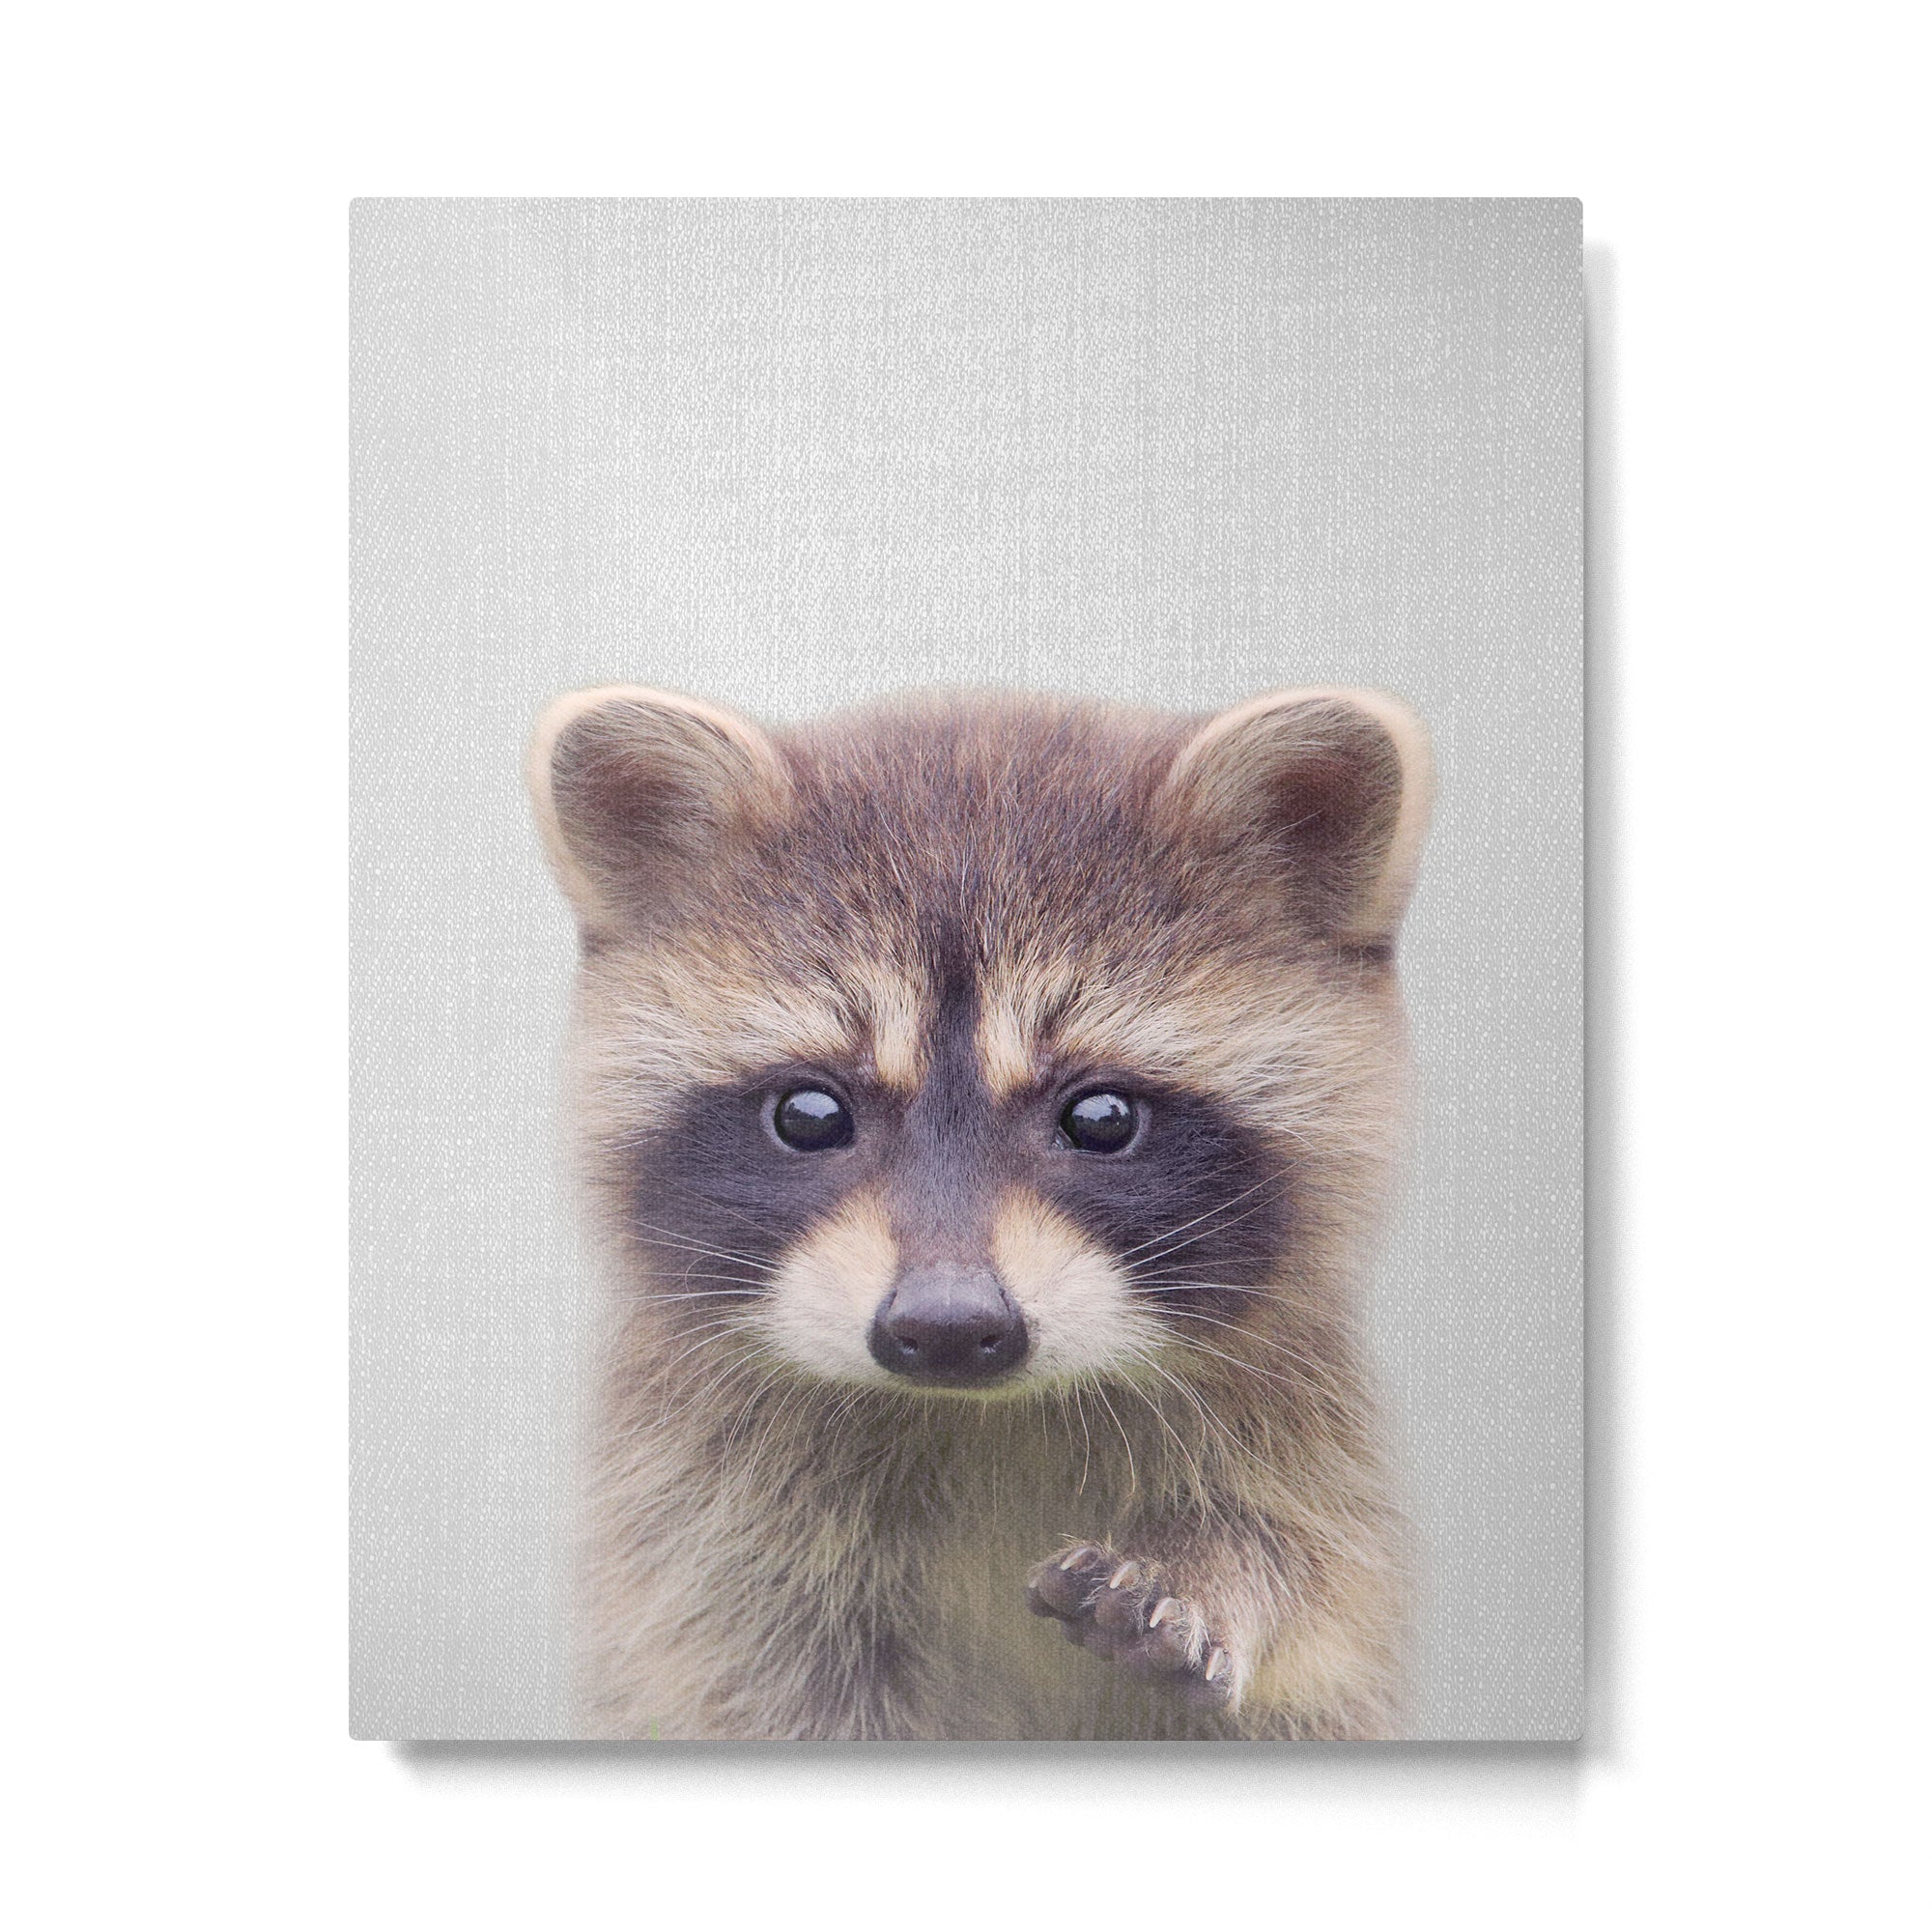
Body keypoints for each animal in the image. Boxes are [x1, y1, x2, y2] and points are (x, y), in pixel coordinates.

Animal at [526, 681, 1432, 1740]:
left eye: (1101, 1116)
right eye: (808, 1114)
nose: (949, 1326)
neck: (982, 1414)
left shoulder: (1311, 1431)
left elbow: (1322, 1571)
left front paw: (1222, 1569)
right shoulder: (694, 1520)